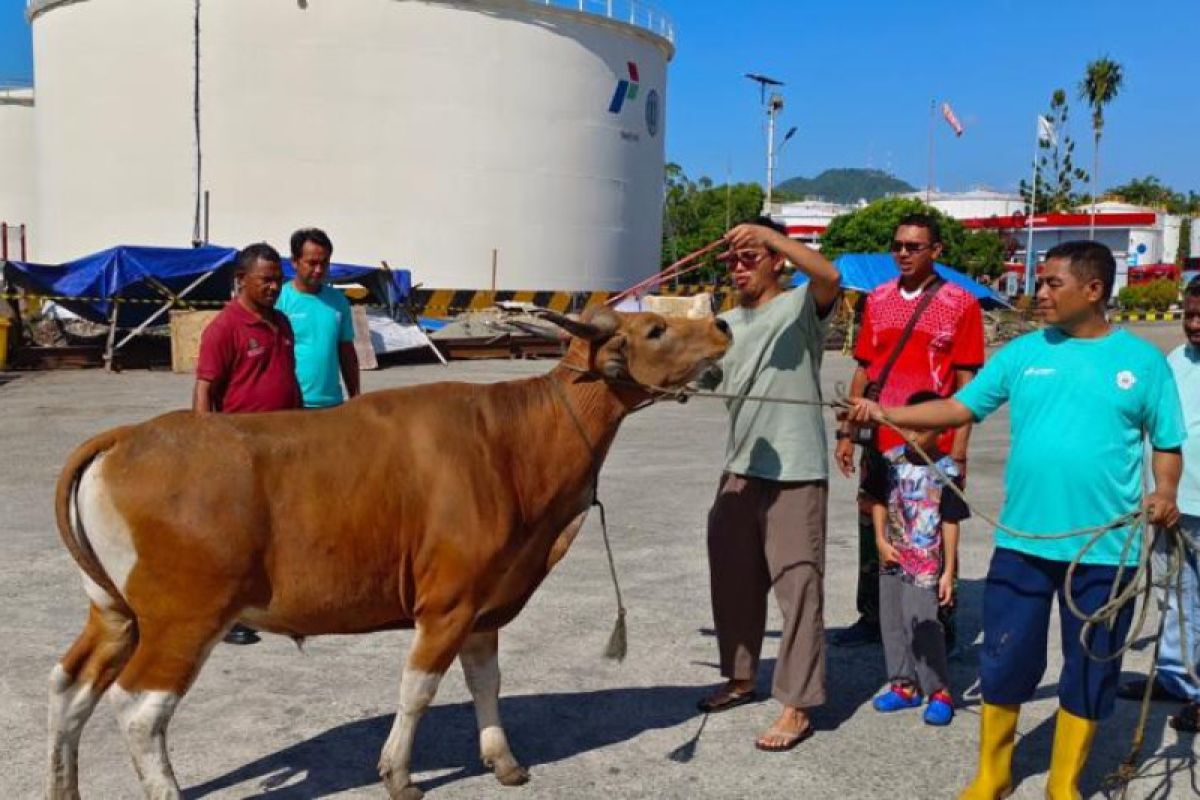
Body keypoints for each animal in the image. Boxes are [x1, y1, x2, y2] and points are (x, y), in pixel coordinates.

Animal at [46, 309, 729, 800]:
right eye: (656, 328)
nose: (722, 322)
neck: (513, 441)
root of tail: (125, 438)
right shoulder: (447, 604)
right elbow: (417, 690)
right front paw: (398, 775)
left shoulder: (485, 605)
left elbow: (486, 682)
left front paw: (502, 759)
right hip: (184, 620)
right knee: (139, 709)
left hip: (114, 612)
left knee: (70, 686)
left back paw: (64, 787)